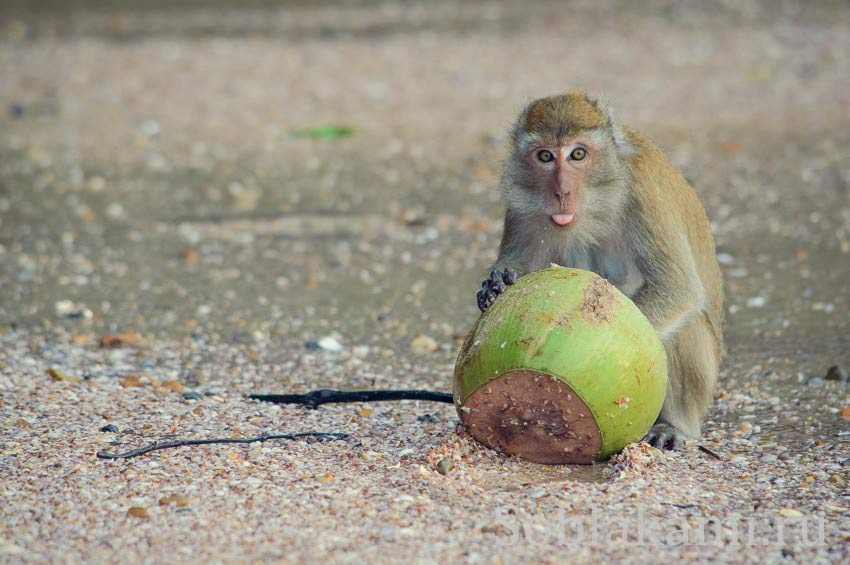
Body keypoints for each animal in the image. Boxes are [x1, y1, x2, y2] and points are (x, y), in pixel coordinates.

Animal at [476, 89, 724, 450]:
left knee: (684, 328)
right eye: (545, 156)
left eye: (578, 154)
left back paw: (675, 426)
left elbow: (676, 288)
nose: (562, 192)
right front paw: (498, 282)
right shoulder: (521, 201)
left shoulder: (644, 191)